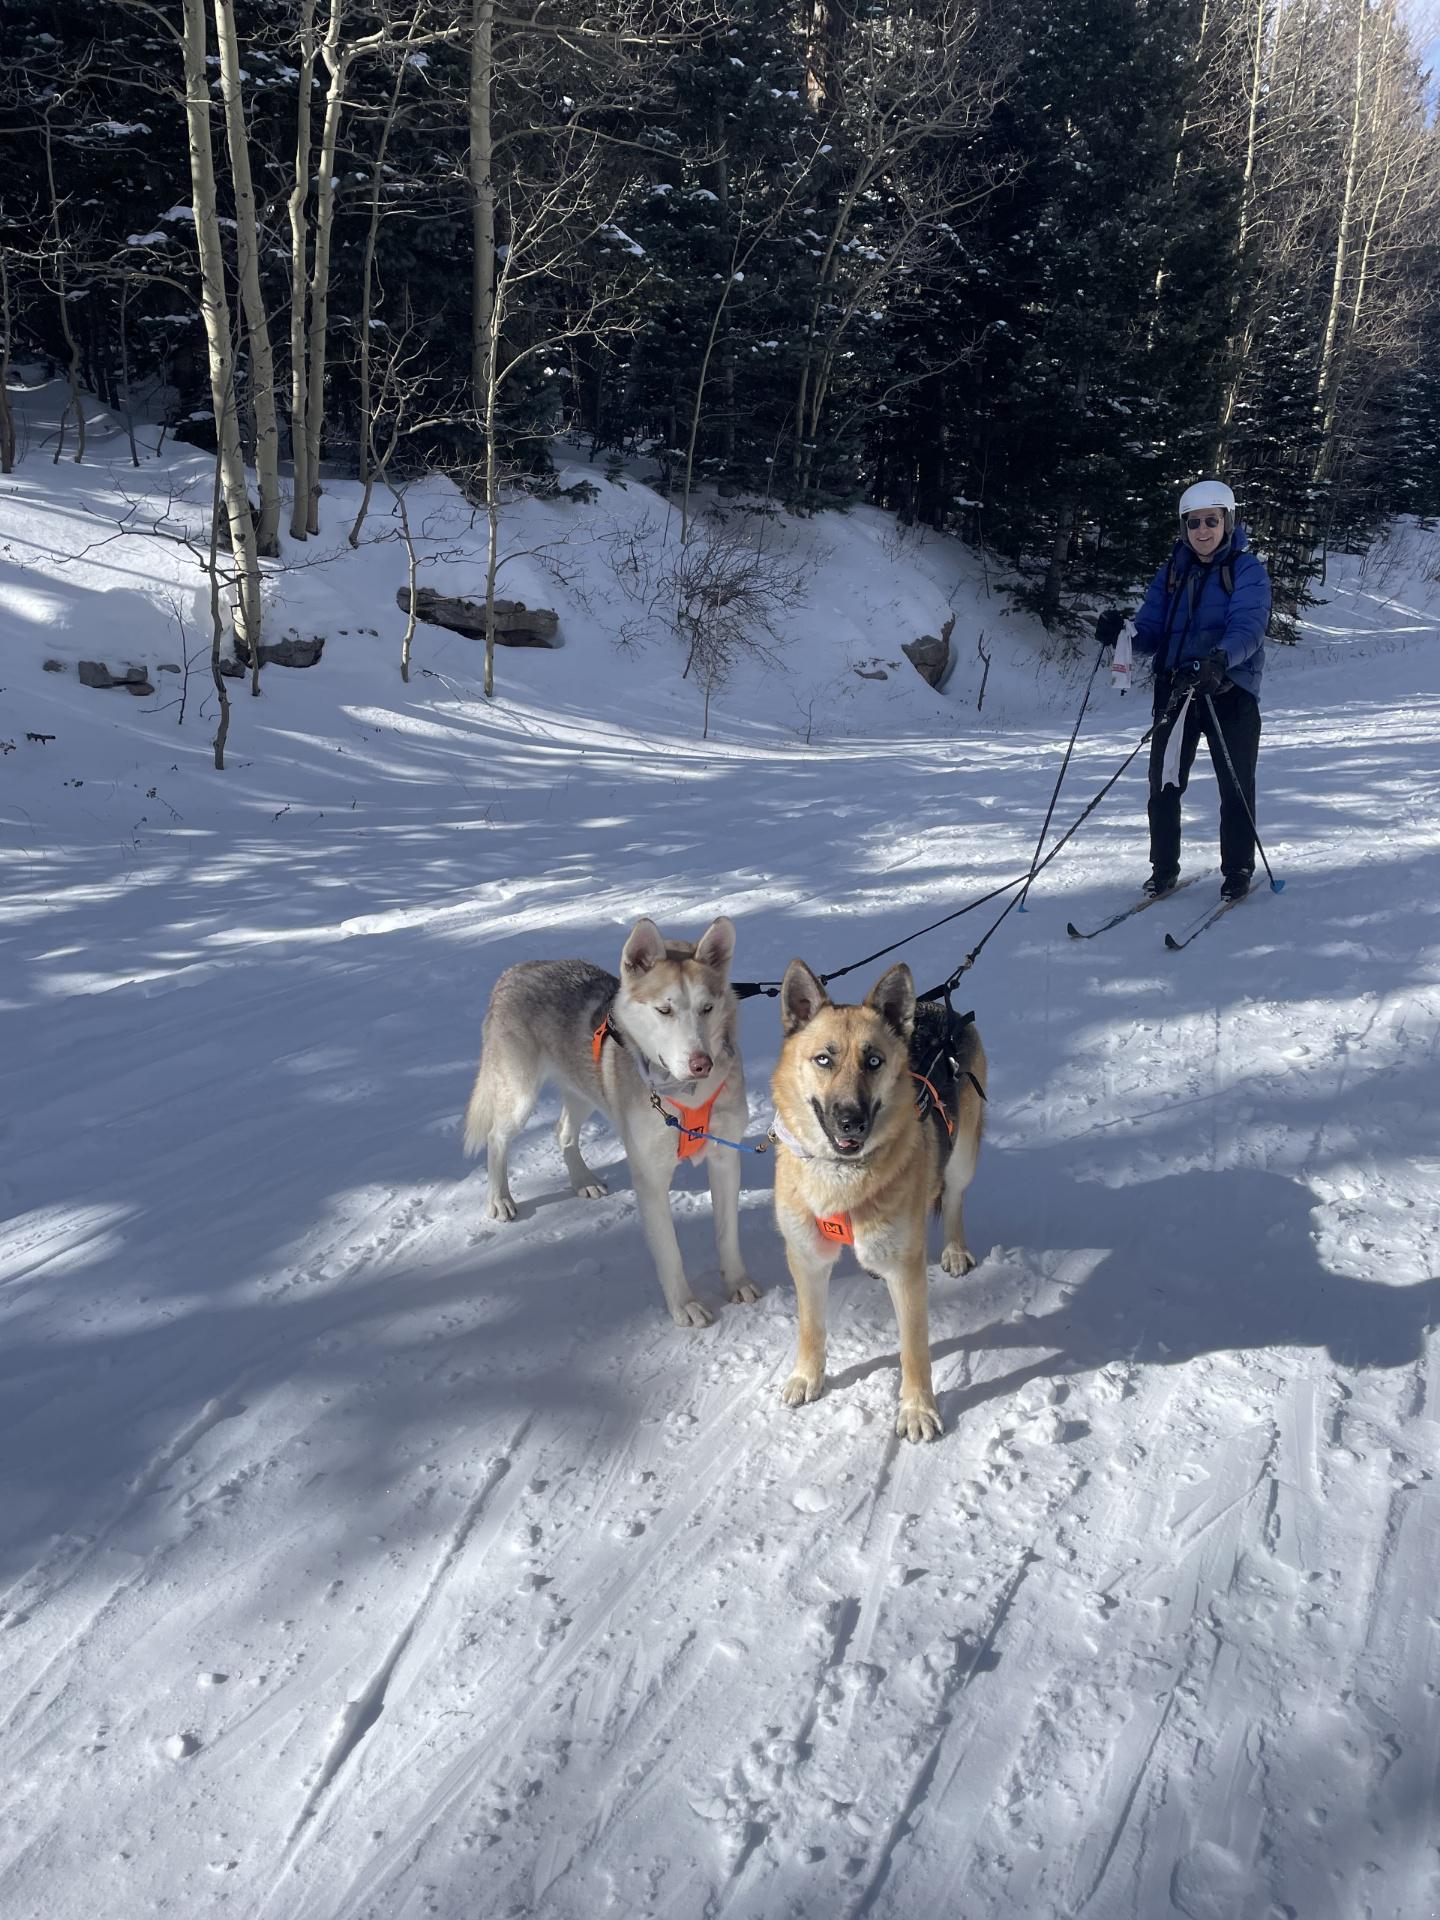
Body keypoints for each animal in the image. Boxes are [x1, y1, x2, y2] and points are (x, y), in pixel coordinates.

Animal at [463, 915, 758, 1327]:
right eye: (664, 1010)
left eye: (707, 1007)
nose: (702, 1063)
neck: (685, 1093)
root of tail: (520, 969)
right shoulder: (651, 1178)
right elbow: (670, 1251)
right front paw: (684, 1304)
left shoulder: (725, 1159)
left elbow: (727, 1235)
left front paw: (737, 1282)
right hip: (519, 1095)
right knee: (496, 1138)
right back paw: (500, 1199)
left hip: (585, 1089)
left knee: (562, 1132)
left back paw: (582, 1180)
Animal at [770, 958, 986, 1441]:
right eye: (824, 1059)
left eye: (874, 1061)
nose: (851, 1121)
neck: (841, 1176)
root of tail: (935, 1005)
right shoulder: (806, 1257)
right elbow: (811, 1327)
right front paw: (807, 1376)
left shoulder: (907, 1275)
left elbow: (914, 1349)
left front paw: (917, 1408)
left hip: (962, 1157)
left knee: (955, 1198)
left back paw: (956, 1249)